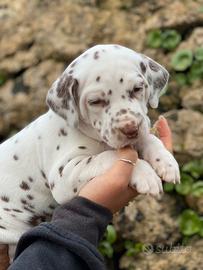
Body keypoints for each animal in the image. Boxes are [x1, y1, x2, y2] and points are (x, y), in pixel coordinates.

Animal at [0, 44, 180, 262]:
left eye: (137, 89)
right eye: (96, 101)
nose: (130, 129)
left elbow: (149, 139)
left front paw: (166, 162)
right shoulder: (63, 175)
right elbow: (107, 157)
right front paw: (146, 174)